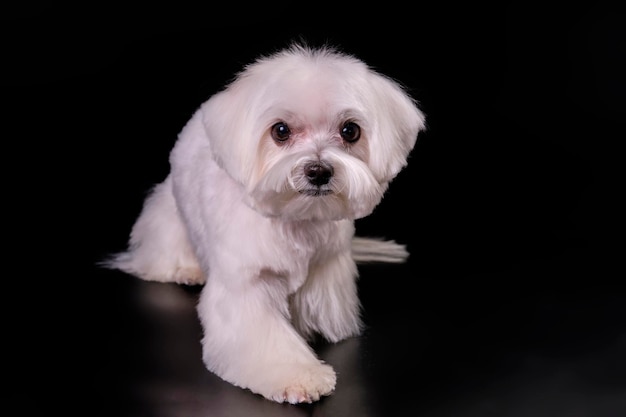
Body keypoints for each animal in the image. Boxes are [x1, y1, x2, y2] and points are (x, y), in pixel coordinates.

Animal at [103, 43, 424, 404]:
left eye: (350, 131)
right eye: (280, 131)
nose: (318, 171)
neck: (296, 218)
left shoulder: (327, 265)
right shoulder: (246, 285)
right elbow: (264, 333)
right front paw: (300, 376)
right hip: (169, 211)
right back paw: (184, 268)